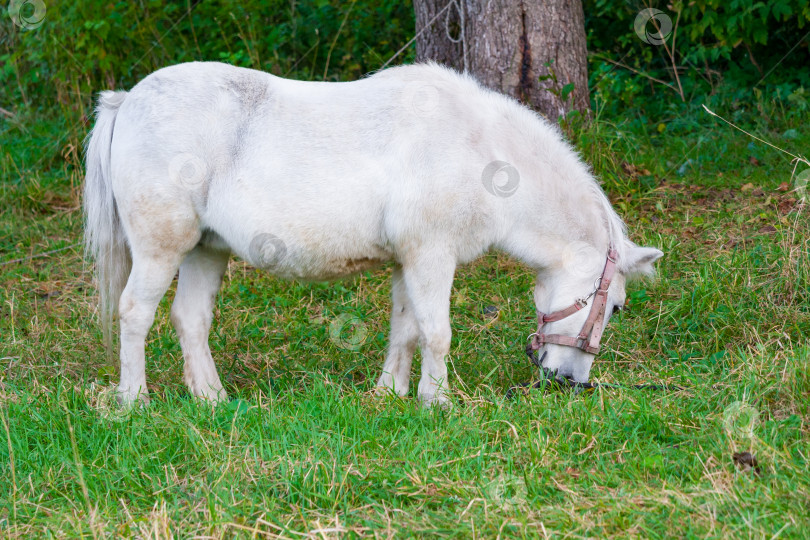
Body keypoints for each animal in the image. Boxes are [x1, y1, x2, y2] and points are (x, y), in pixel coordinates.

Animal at [83, 61, 664, 404]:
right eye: (615, 307)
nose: (571, 382)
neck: (483, 153)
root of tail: (128, 100)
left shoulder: (408, 261)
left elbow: (405, 329)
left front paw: (391, 394)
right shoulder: (432, 256)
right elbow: (436, 332)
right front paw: (437, 401)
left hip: (205, 250)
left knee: (190, 319)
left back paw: (212, 399)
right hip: (161, 249)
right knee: (135, 313)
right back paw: (133, 400)